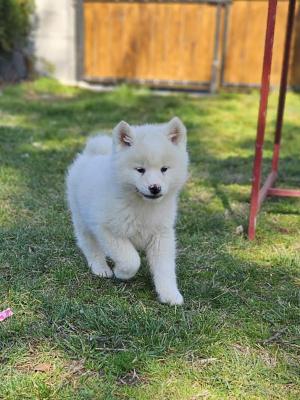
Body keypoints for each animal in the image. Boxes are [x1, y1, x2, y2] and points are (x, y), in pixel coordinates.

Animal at [67, 117, 189, 304]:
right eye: (140, 170)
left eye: (164, 169)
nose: (155, 188)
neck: (143, 205)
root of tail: (91, 154)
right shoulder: (107, 230)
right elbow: (131, 259)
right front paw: (121, 272)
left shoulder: (161, 235)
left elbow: (165, 268)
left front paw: (169, 294)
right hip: (82, 219)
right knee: (89, 245)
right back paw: (100, 268)